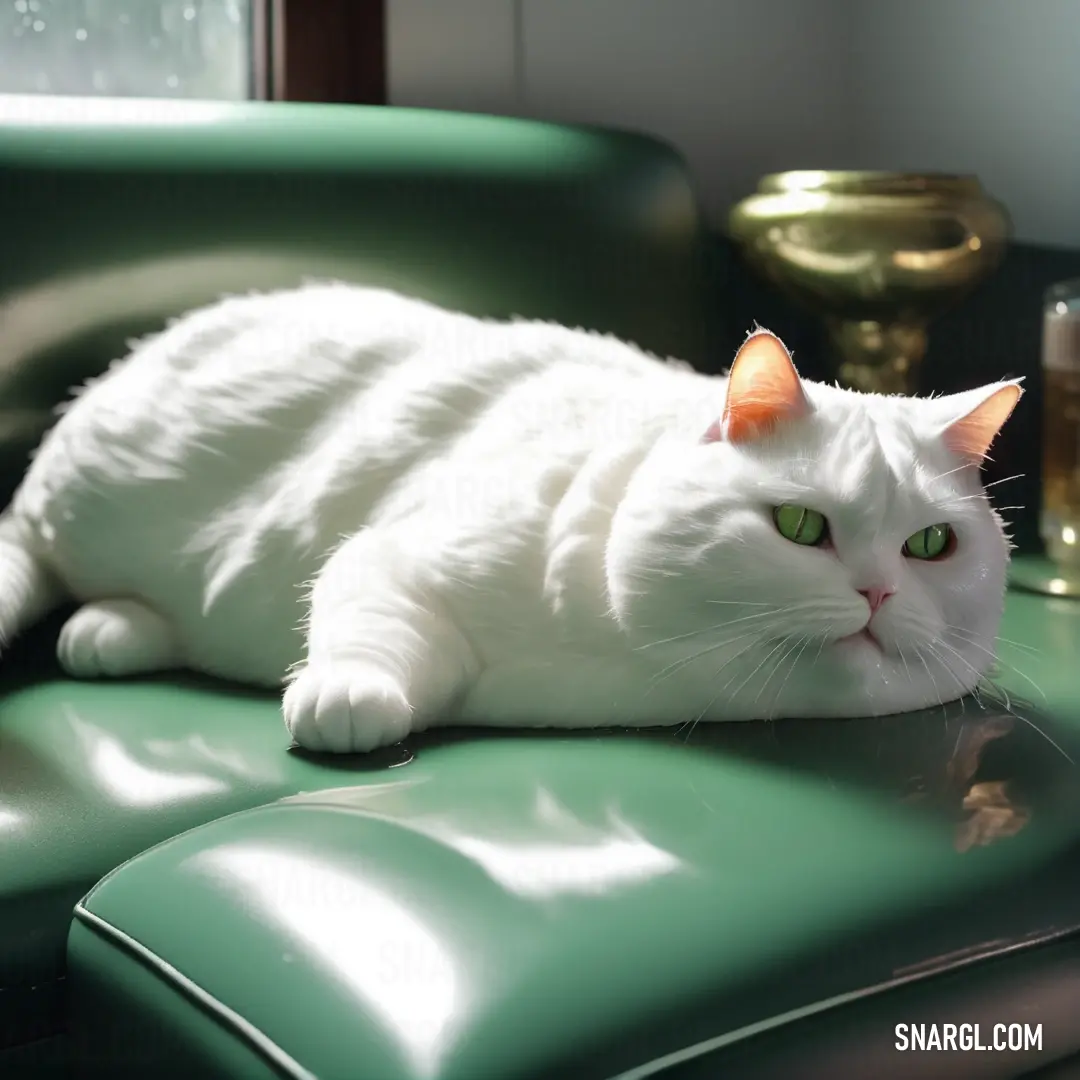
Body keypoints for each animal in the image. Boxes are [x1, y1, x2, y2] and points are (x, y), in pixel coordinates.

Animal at [0, 282, 1019, 751]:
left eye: (932, 544)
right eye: (802, 528)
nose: (880, 592)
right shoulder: (394, 555)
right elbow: (364, 614)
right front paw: (347, 698)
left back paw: (109, 633)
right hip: (70, 508)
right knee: (35, 552)